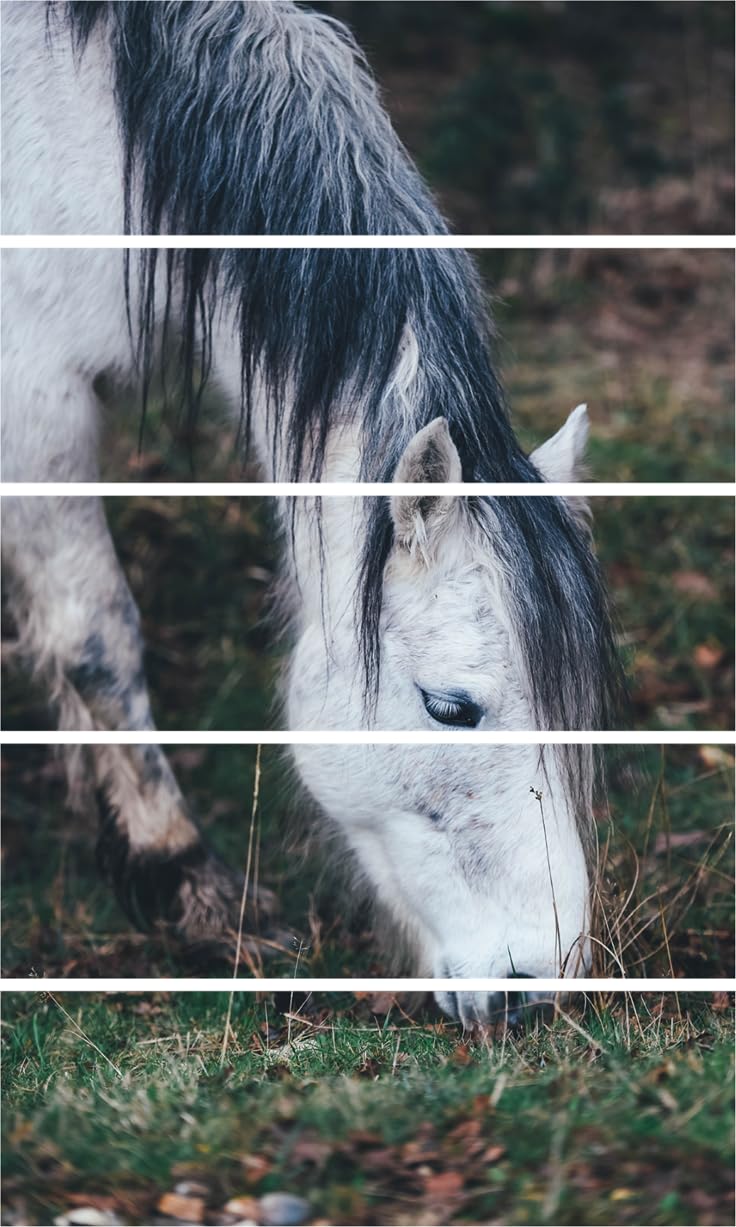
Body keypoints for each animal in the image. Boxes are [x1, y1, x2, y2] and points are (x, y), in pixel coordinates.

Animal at [1, 2, 623, 1022]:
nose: (538, 984)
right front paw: (184, 879)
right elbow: (98, 639)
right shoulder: (35, 404)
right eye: (451, 707)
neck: (84, 127)